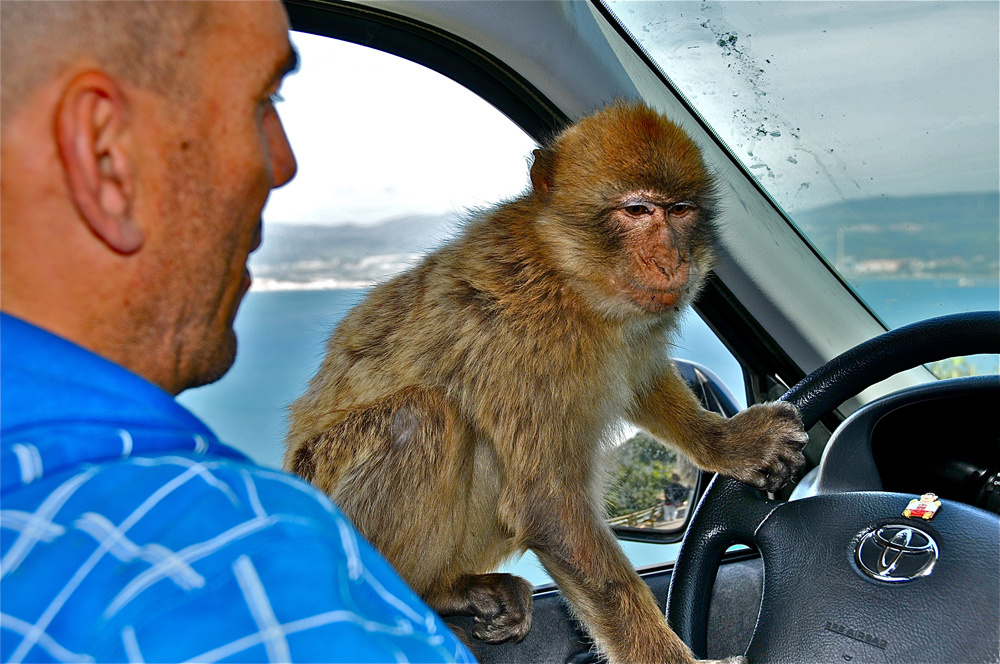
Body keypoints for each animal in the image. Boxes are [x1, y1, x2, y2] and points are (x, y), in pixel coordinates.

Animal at [282, 102, 804, 664]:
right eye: (637, 211)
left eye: (680, 210)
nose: (671, 261)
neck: (571, 275)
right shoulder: (525, 338)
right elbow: (546, 504)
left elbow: (638, 377)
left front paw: (730, 443)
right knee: (423, 418)